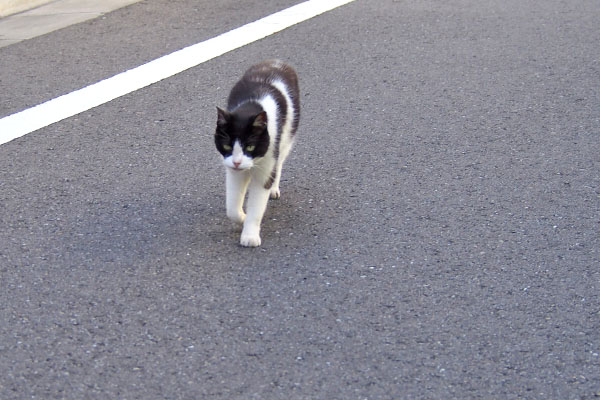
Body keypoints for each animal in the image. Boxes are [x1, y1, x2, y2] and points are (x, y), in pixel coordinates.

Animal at [214, 59, 300, 247]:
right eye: (227, 146)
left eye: (250, 147)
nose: (237, 162)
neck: (250, 107)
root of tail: (276, 61)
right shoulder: (234, 172)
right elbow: (232, 207)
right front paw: (241, 217)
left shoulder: (267, 164)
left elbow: (256, 207)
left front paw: (250, 236)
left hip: (286, 137)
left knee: (279, 163)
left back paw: (274, 189)